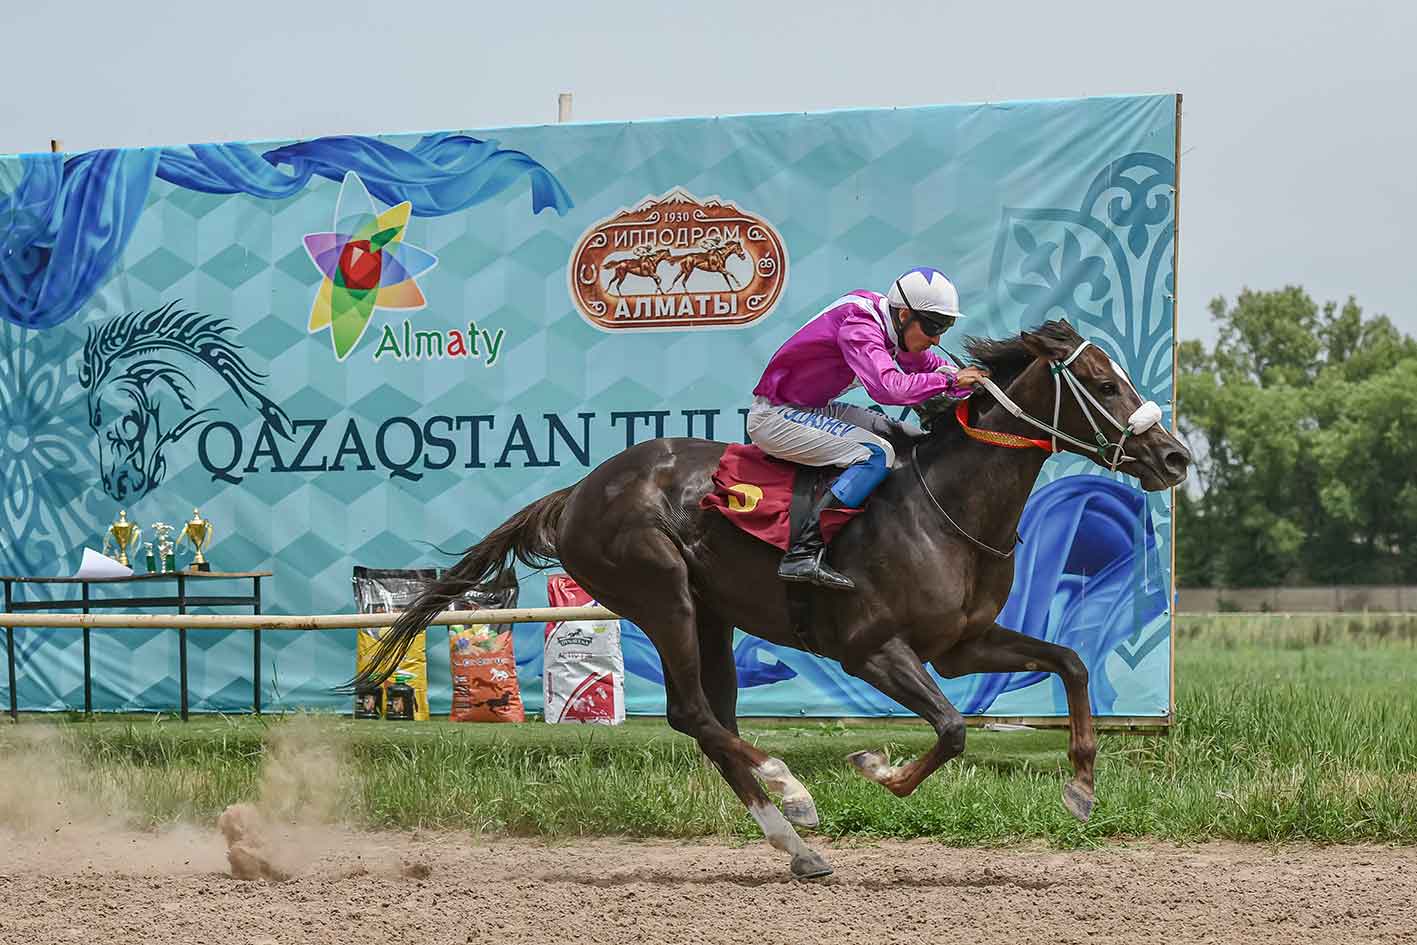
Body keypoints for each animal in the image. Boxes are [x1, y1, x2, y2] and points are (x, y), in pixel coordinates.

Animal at [356, 319, 1190, 880]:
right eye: (1104, 384)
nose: (1175, 455)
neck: (942, 504)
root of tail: (579, 491)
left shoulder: (959, 644)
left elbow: (1070, 662)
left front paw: (1079, 788)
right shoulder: (870, 648)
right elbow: (953, 729)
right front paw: (874, 767)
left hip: (713, 615)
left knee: (711, 723)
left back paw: (796, 844)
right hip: (661, 594)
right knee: (694, 714)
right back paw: (795, 794)